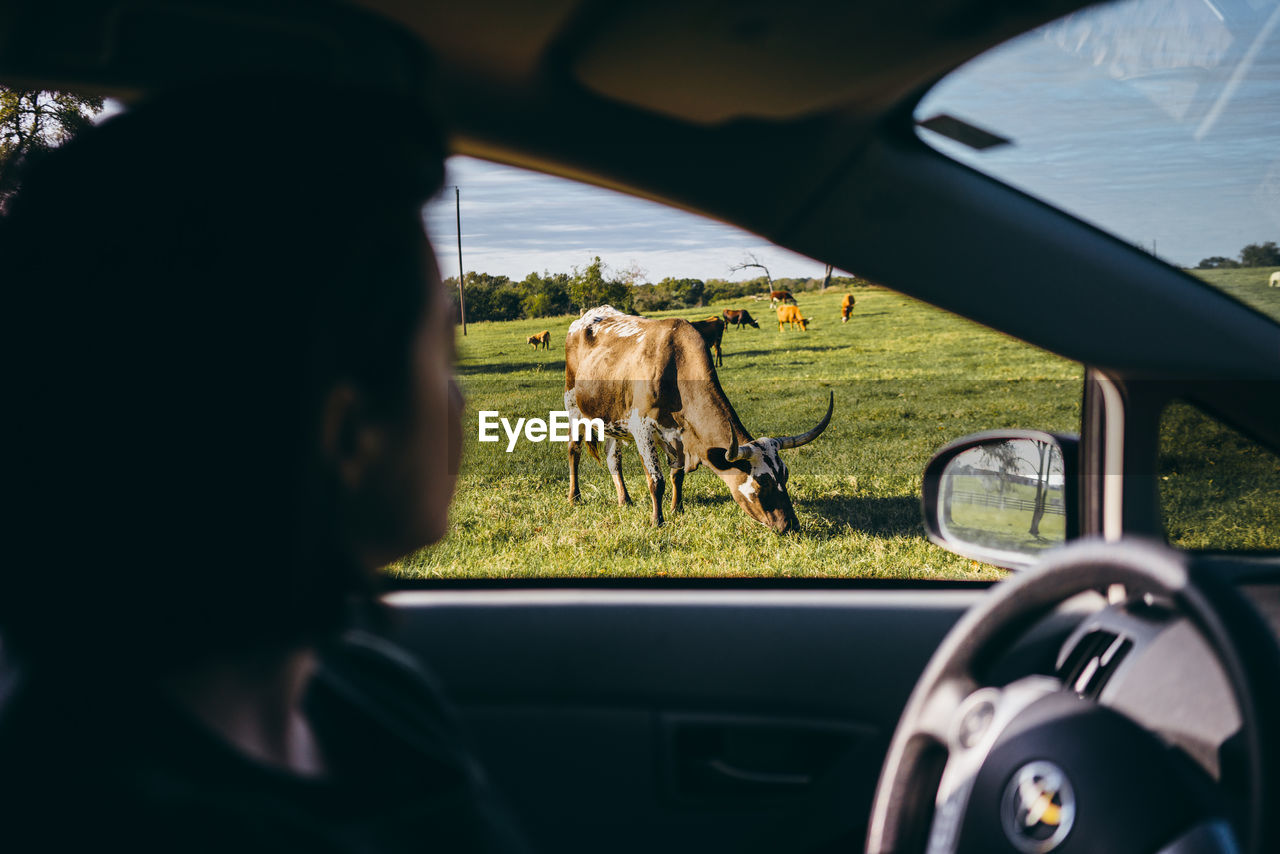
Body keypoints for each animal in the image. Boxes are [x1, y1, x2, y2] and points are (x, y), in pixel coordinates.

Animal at [565, 303, 834, 530]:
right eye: (761, 483)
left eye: (785, 474)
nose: (790, 525)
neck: (675, 364)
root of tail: (586, 315)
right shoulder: (642, 428)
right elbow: (656, 480)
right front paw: (657, 521)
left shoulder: (678, 435)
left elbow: (677, 475)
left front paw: (677, 508)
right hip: (573, 407)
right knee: (574, 451)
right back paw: (574, 497)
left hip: (611, 418)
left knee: (613, 459)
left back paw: (624, 499)